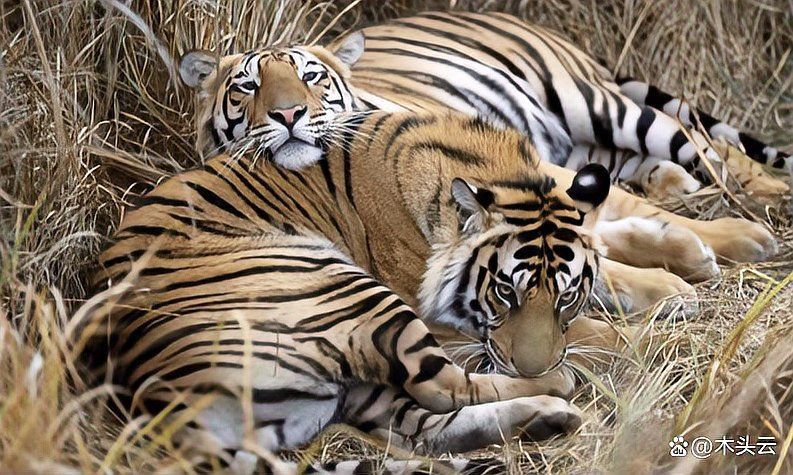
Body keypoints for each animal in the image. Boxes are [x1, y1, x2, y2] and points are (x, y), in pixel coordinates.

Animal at [72, 110, 639, 471]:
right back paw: (558, 390)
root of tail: (159, 393)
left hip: (350, 384)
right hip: (342, 287)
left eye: (566, 296)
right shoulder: (436, 318)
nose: (536, 365)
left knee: (423, 425)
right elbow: (594, 336)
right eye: (504, 291)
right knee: (444, 388)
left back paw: (549, 416)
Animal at [333, 11, 791, 197]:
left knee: (692, 135)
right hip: (579, 144)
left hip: (588, 102)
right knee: (638, 156)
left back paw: (766, 191)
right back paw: (676, 182)